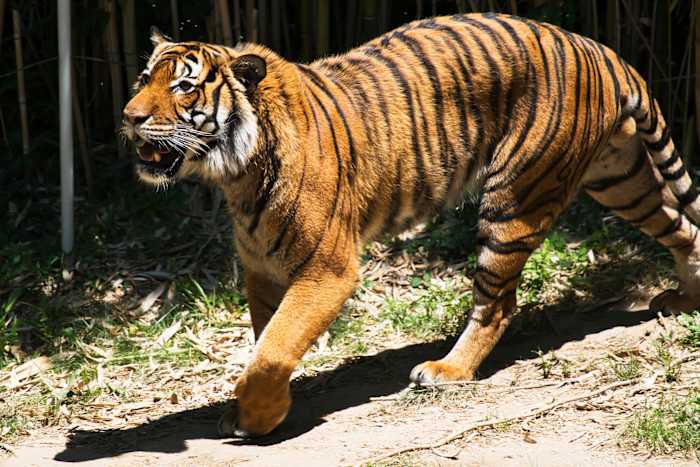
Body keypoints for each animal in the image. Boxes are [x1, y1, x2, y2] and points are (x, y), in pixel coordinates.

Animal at [122, 13, 700, 438]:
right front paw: (260, 408)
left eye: (184, 87)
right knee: (681, 226)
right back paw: (686, 300)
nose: (129, 117)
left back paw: (447, 370)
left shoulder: (327, 269)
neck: (237, 173)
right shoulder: (262, 270)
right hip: (619, 175)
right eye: (143, 80)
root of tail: (598, 48)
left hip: (515, 198)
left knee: (497, 302)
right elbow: (268, 340)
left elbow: (274, 348)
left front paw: (257, 417)